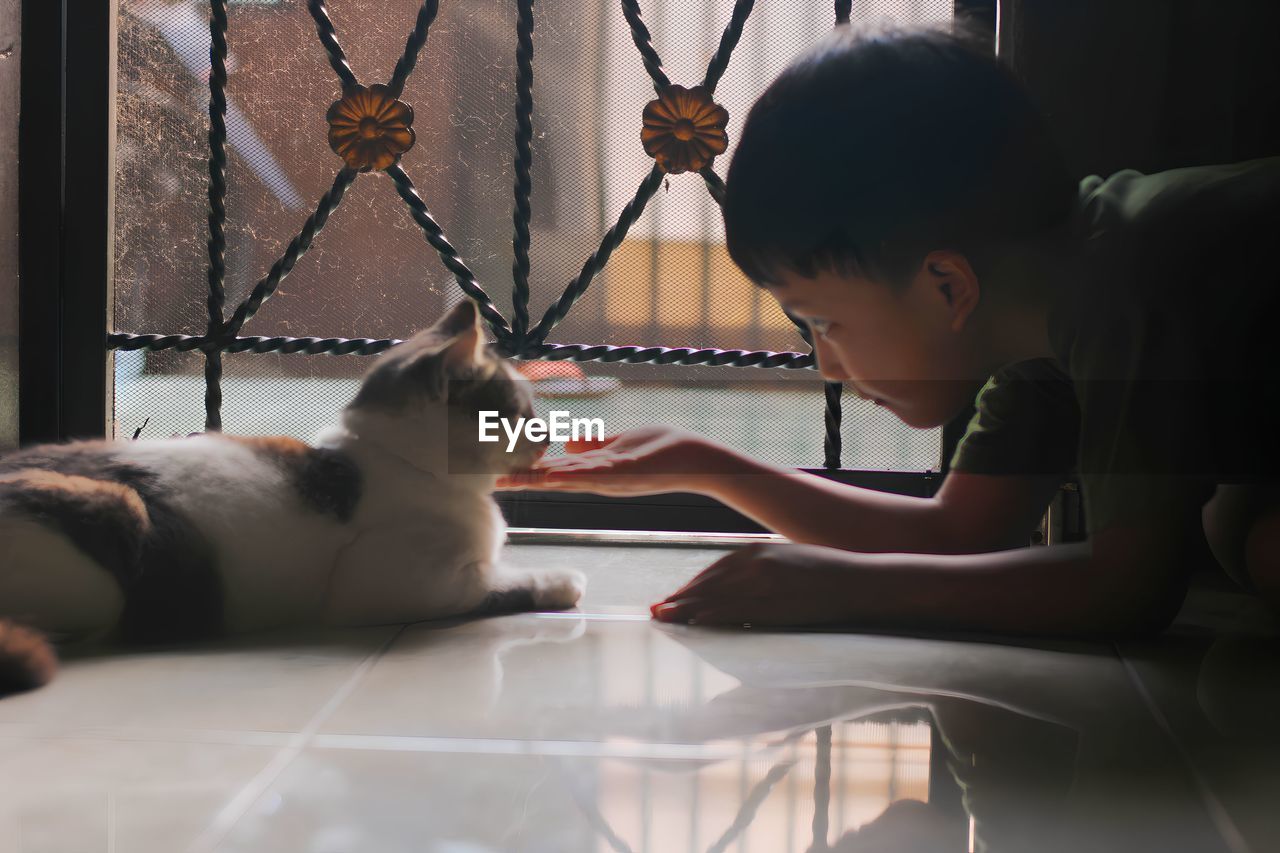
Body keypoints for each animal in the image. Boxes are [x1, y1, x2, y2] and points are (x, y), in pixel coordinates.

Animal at [0, 302, 586, 696]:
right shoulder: (389, 589)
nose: (544, 437)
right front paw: (560, 580)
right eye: (519, 410)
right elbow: (495, 584)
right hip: (117, 523)